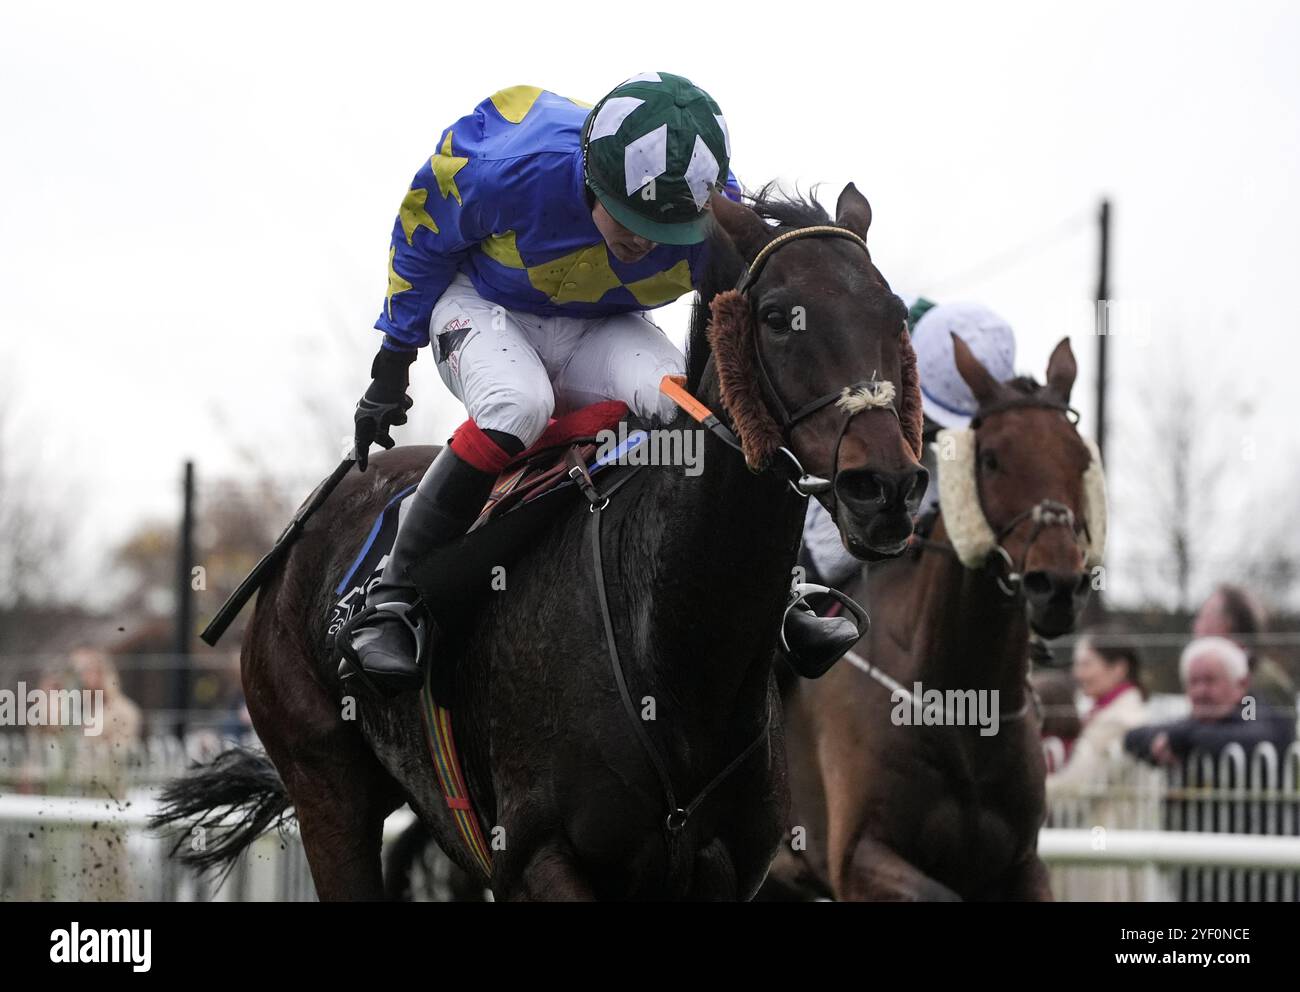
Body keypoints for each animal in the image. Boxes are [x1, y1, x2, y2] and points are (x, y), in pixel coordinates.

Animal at [152, 185, 925, 899]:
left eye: (893, 315)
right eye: (776, 317)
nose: (884, 487)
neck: (675, 650)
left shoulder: (730, 870)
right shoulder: (538, 858)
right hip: (325, 786)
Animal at [769, 335, 1107, 899]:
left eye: (1081, 458)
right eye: (991, 459)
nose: (1058, 585)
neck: (963, 701)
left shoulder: (1021, 863)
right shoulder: (858, 858)